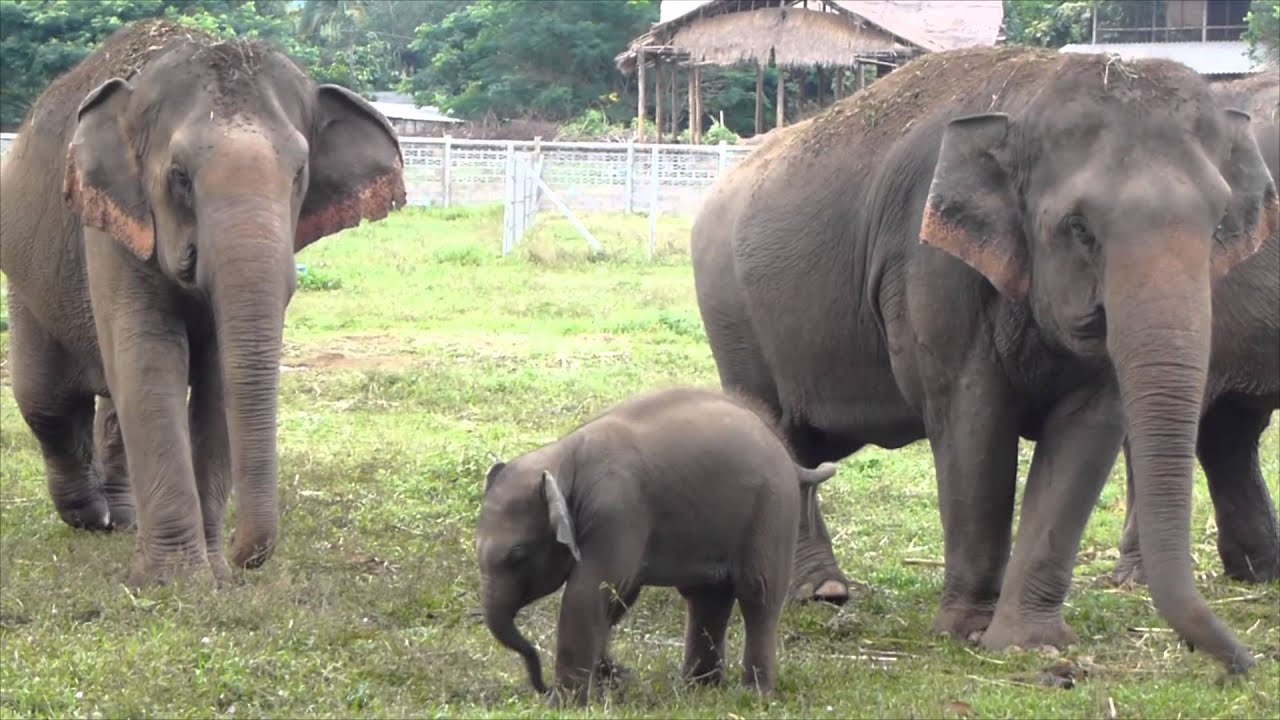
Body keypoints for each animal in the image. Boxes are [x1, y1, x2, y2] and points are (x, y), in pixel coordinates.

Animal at [0, 20, 405, 587]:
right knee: (48, 400)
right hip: (28, 279)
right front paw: (177, 581)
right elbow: (149, 360)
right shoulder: (112, 226)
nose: (242, 557)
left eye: (299, 174)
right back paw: (90, 517)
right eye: (179, 177)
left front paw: (212, 573)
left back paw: (121, 518)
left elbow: (217, 377)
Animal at [475, 387, 838, 704]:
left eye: (517, 555)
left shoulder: (617, 513)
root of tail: (788, 455)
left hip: (773, 510)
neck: (563, 456)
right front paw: (609, 680)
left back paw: (753, 696)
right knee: (707, 597)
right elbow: (617, 595)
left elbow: (591, 590)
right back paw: (698, 689)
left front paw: (565, 704)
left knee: (758, 596)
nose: (541, 687)